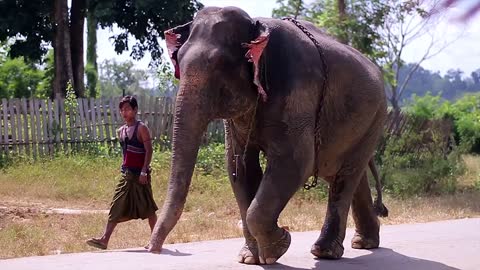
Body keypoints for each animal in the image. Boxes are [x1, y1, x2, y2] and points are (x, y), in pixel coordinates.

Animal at [148, 5, 388, 264]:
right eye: (179, 62)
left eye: (219, 63)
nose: (152, 249)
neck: (257, 27)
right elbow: (240, 168)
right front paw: (250, 258)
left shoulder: (298, 90)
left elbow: (295, 162)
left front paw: (279, 246)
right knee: (346, 174)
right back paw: (364, 243)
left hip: (375, 116)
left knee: (346, 175)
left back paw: (325, 252)